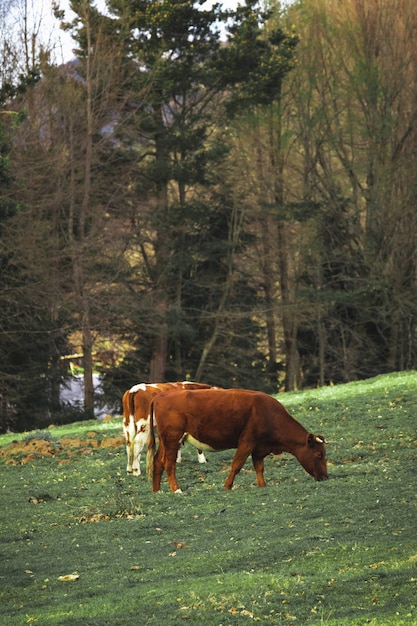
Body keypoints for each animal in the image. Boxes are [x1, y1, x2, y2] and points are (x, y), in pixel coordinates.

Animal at [147, 386, 328, 492]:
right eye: (319, 455)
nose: (326, 477)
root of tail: (161, 395)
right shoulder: (247, 442)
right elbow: (236, 465)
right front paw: (227, 486)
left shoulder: (259, 448)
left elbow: (259, 467)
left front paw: (262, 485)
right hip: (172, 438)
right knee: (169, 464)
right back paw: (176, 490)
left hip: (165, 440)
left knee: (158, 461)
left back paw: (157, 490)